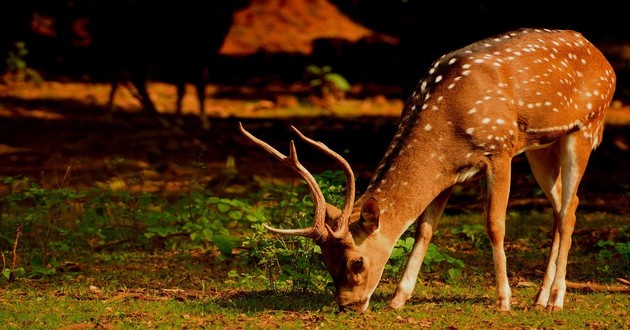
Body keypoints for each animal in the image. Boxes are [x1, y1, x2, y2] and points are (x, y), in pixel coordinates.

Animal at [239, 27, 616, 312]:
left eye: (357, 262)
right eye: (325, 261)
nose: (348, 305)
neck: (446, 125)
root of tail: (604, 59)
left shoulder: (500, 150)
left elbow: (494, 225)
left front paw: (504, 300)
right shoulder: (450, 173)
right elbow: (424, 229)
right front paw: (397, 299)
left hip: (585, 128)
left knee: (569, 212)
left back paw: (555, 300)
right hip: (541, 147)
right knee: (564, 206)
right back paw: (539, 297)